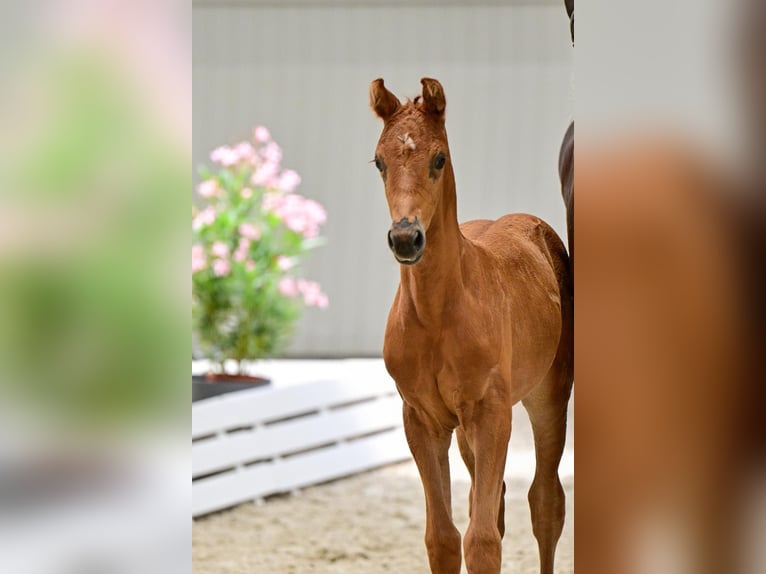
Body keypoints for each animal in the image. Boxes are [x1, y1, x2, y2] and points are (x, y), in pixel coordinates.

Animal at [370, 78, 574, 574]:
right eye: (379, 161)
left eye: (438, 158)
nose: (406, 238)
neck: (437, 317)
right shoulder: (422, 419)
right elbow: (443, 537)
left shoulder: (492, 414)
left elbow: (482, 541)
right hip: (463, 430)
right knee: (495, 502)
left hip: (548, 398)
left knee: (545, 502)